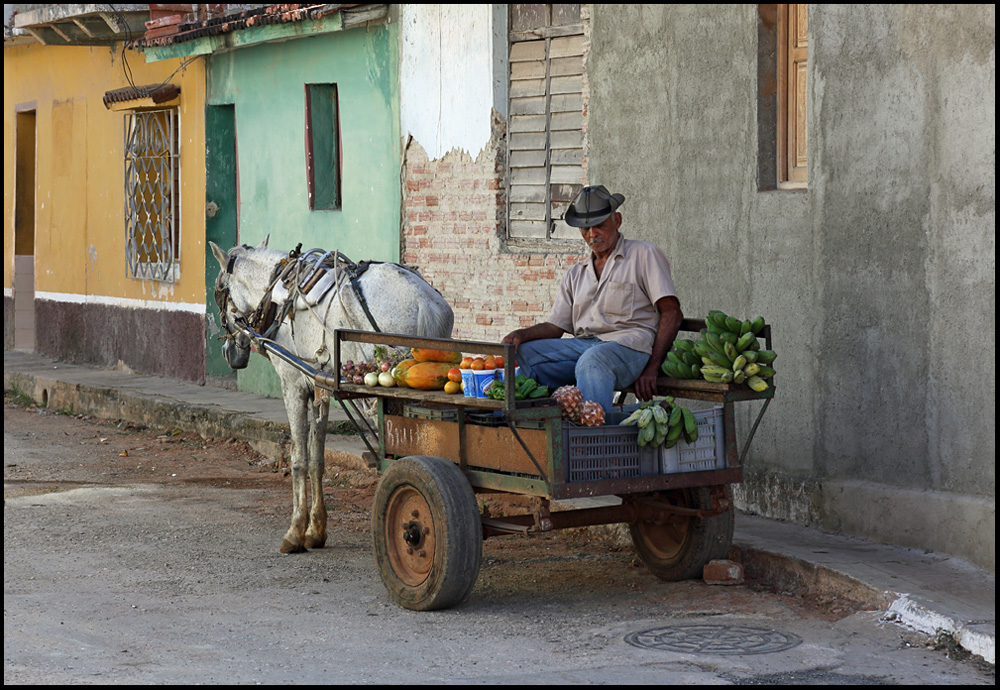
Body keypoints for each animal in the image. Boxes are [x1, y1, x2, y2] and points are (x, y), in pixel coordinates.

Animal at [215, 239, 458, 552]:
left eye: (221, 292)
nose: (229, 353)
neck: (278, 294)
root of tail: (423, 301)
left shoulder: (292, 384)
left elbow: (298, 459)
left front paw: (295, 532)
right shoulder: (320, 386)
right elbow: (317, 459)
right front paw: (316, 530)